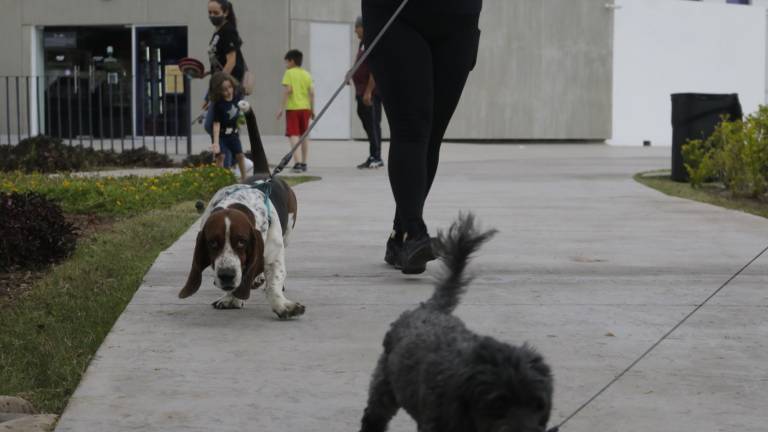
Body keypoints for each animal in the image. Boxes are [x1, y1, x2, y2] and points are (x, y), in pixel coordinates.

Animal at [178, 106, 306, 318]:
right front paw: (231, 298)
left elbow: (274, 282)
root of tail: (264, 173)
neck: (238, 204)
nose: (226, 275)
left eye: (241, 241)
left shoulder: (273, 255)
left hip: (287, 233)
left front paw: (282, 305)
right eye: (212, 243)